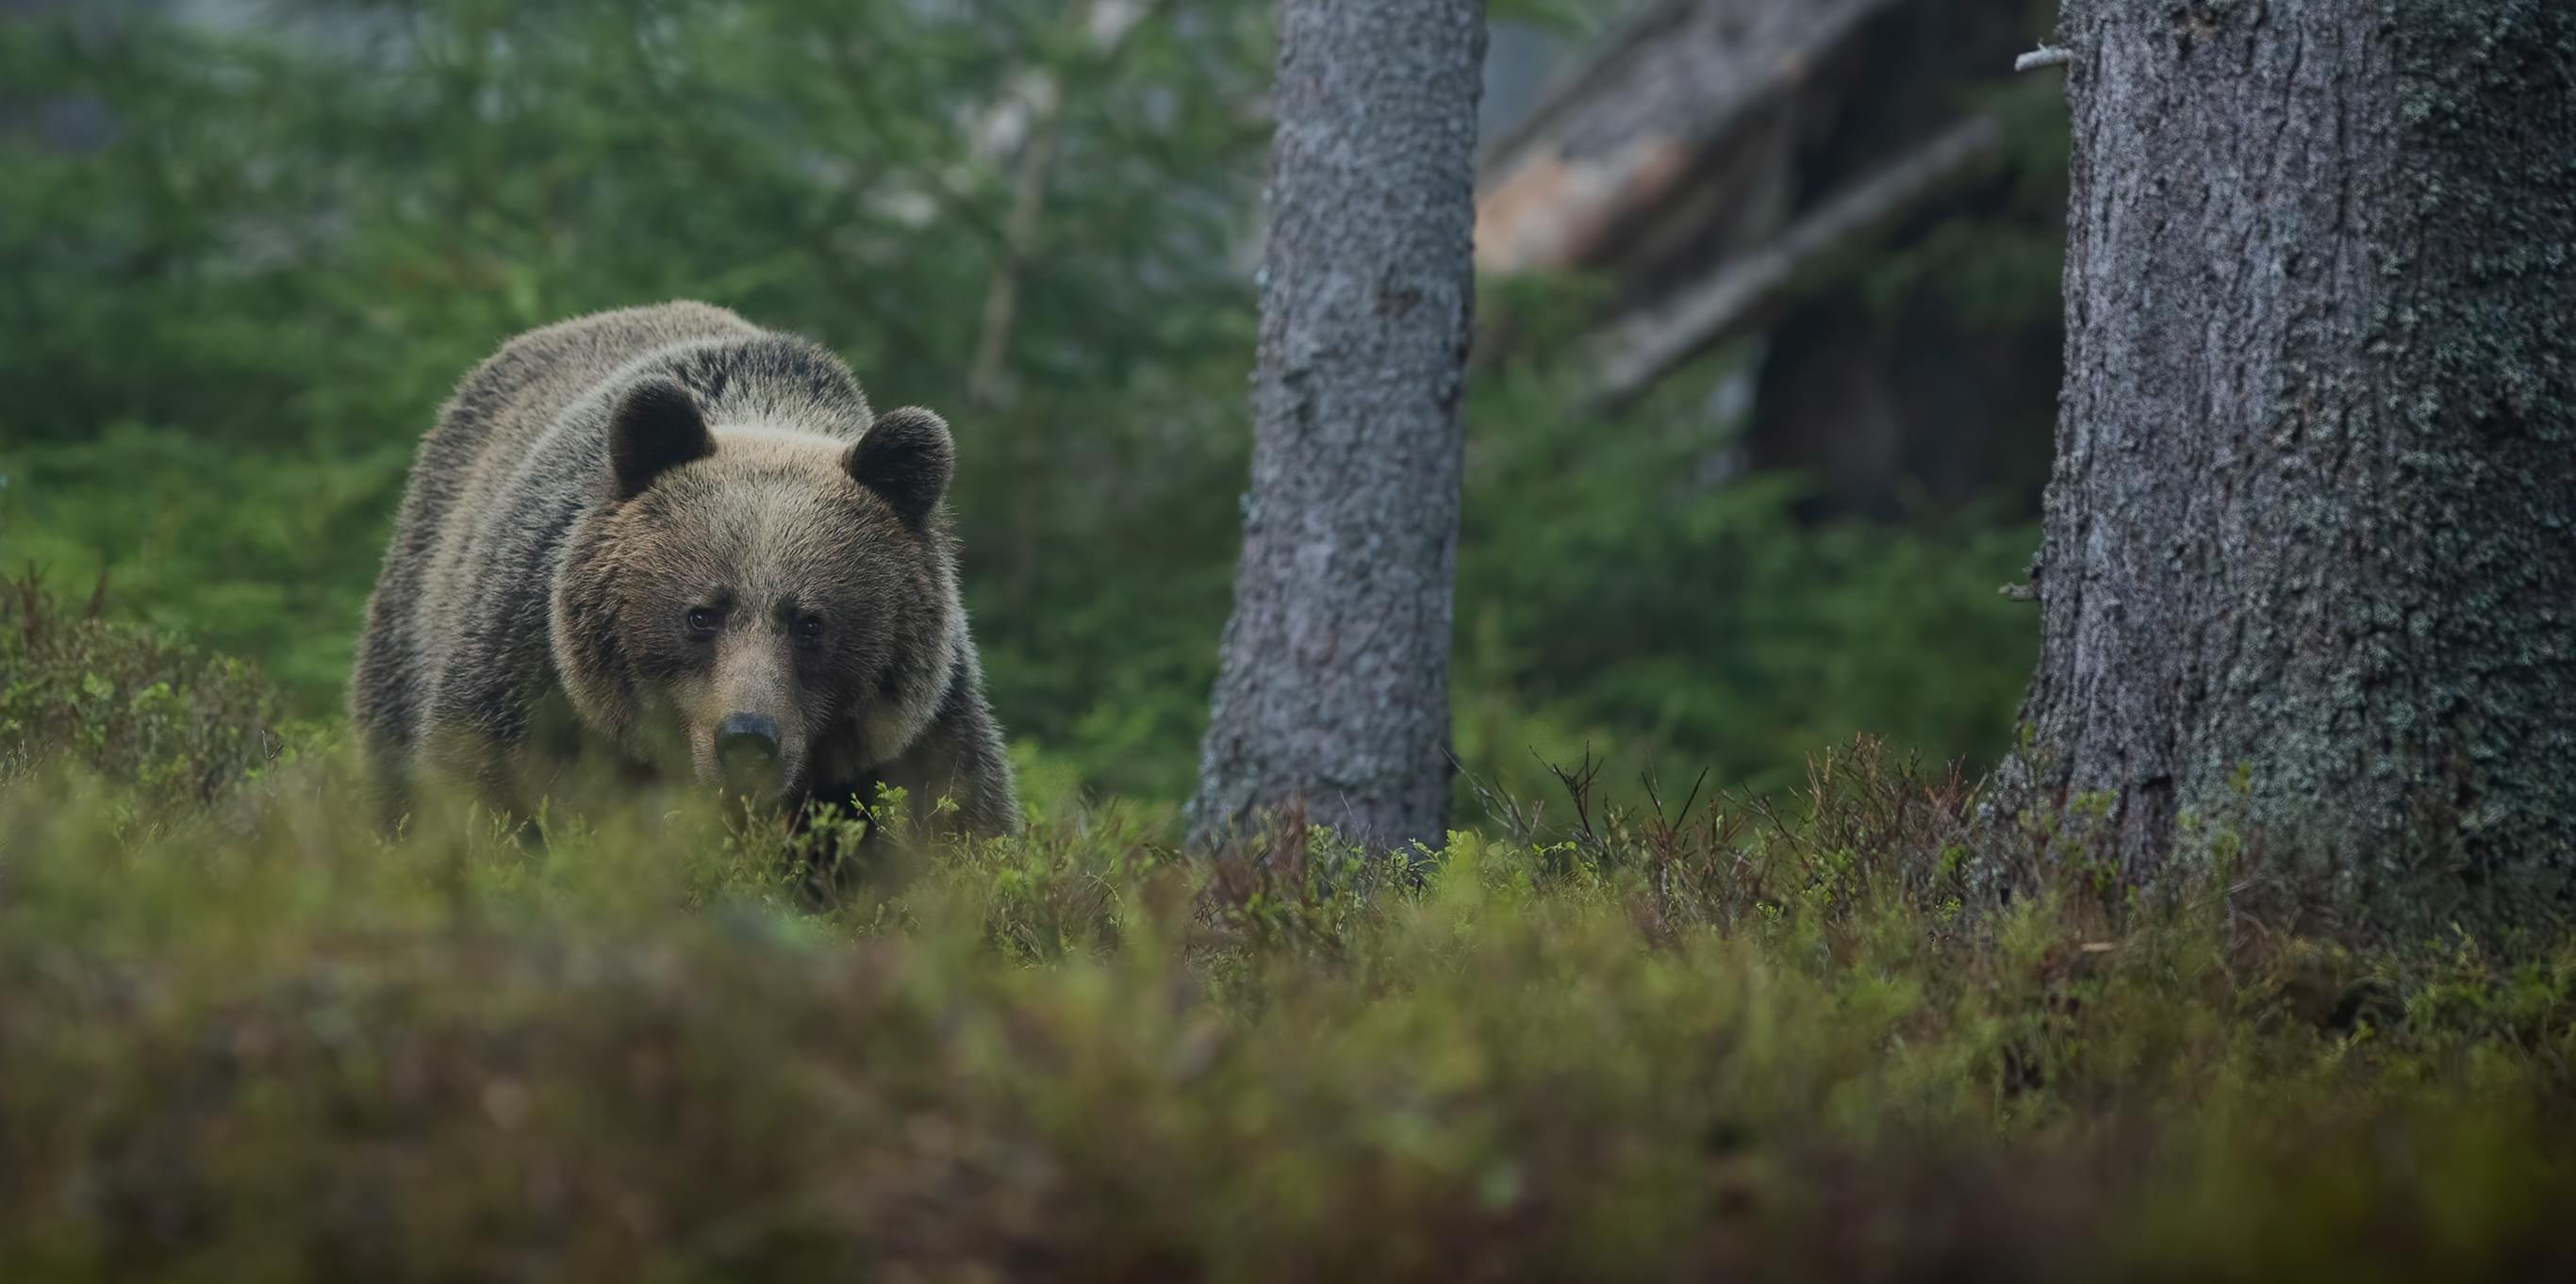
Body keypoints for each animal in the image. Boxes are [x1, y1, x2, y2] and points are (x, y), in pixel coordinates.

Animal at [347, 300, 1020, 857]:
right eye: (702, 614)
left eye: (810, 623)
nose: (747, 739)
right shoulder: (534, 665)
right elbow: (485, 790)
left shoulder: (915, 729)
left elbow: (952, 826)